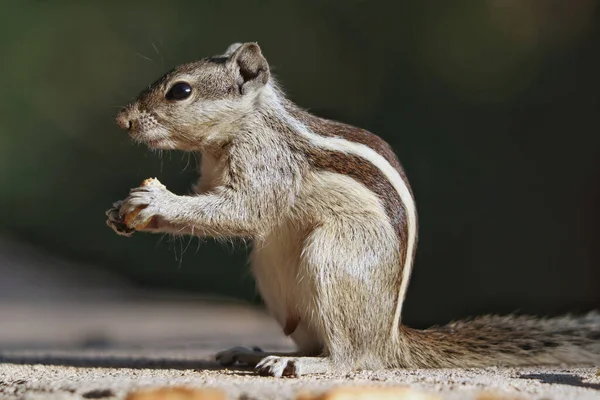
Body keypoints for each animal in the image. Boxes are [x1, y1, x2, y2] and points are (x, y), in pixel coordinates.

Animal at [106, 42, 600, 376]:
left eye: (180, 91)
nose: (122, 121)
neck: (246, 124)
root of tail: (388, 340)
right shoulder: (211, 176)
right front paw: (119, 211)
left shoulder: (268, 163)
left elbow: (244, 211)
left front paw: (155, 200)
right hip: (276, 276)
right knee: (314, 342)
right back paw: (258, 354)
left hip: (333, 255)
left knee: (349, 358)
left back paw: (303, 366)